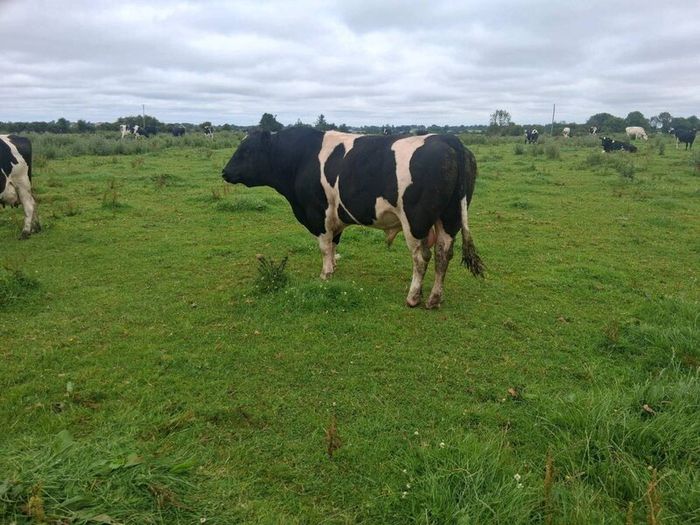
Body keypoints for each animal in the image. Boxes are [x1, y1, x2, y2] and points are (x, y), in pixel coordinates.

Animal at [221, 128, 485, 308]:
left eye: (246, 151)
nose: (224, 172)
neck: (300, 158)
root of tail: (449, 139)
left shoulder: (318, 213)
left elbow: (324, 246)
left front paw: (325, 274)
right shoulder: (335, 218)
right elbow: (334, 244)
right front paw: (334, 268)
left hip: (415, 221)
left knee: (422, 258)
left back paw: (413, 297)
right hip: (449, 218)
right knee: (443, 255)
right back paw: (434, 298)